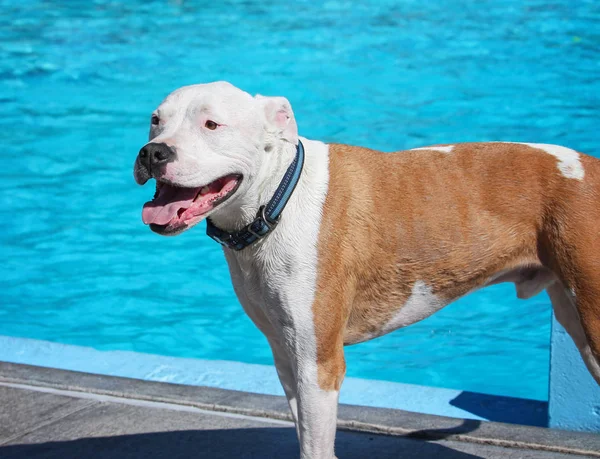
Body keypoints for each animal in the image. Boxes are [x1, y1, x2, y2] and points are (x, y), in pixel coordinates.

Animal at [135, 81, 600, 458]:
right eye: (155, 121)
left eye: (211, 124)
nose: (153, 151)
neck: (275, 201)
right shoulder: (287, 358)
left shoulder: (318, 364)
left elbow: (316, 448)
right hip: (575, 320)